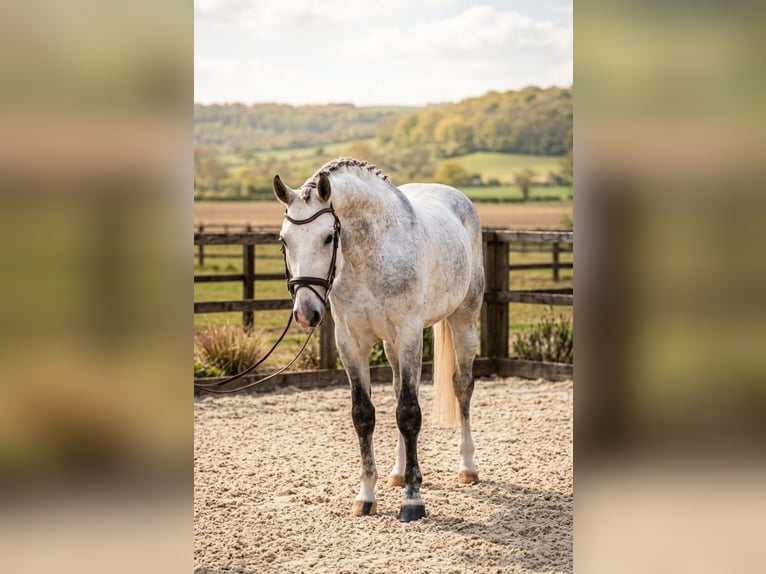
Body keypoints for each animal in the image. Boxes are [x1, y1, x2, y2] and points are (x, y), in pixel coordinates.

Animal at [273, 158, 485, 522]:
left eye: (328, 237)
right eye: (285, 240)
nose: (305, 313)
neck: (369, 257)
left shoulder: (409, 334)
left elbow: (409, 414)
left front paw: (413, 501)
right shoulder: (350, 343)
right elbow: (364, 415)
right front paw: (366, 497)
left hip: (463, 320)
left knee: (462, 386)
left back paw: (467, 468)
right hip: (391, 346)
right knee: (401, 389)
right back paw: (398, 474)